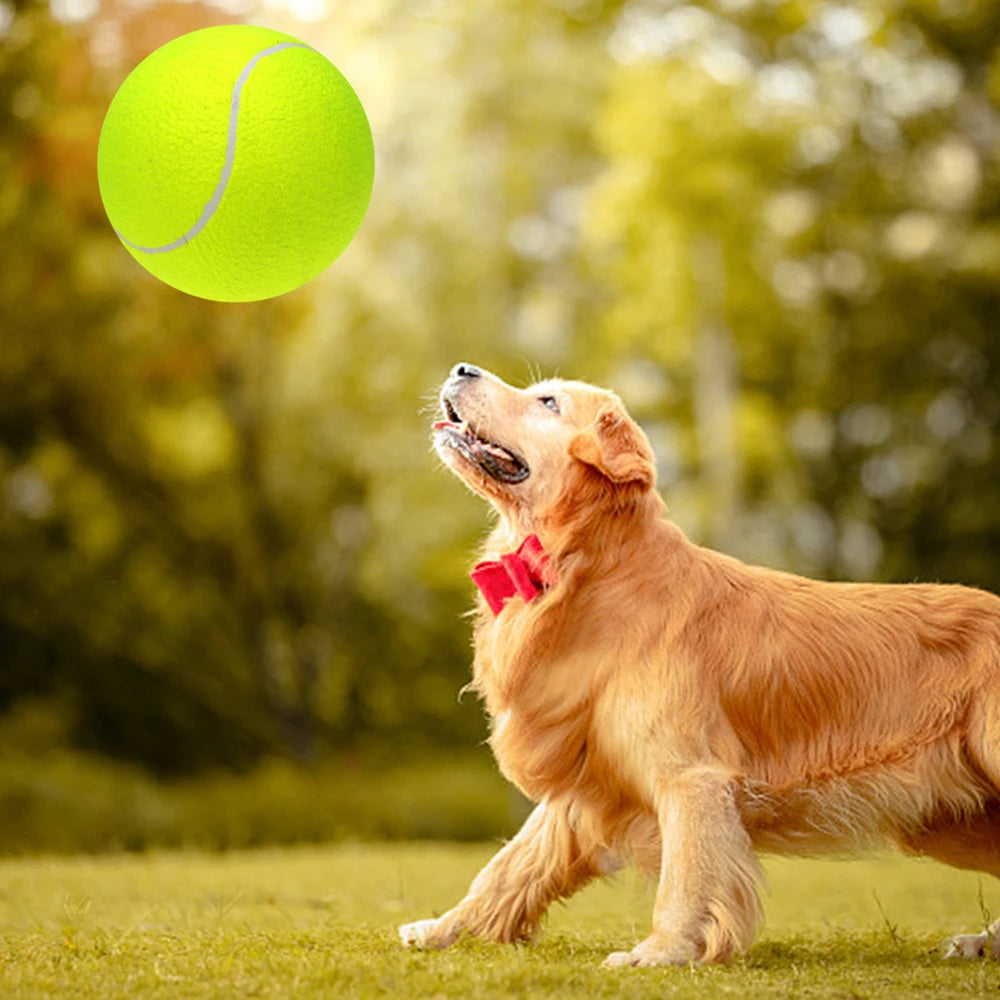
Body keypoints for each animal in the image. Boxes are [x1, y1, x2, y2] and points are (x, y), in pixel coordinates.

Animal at [398, 364, 1000, 964]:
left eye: (548, 401)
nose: (461, 368)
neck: (594, 569)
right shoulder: (592, 777)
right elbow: (506, 869)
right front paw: (443, 928)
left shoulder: (689, 776)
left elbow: (685, 876)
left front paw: (659, 952)